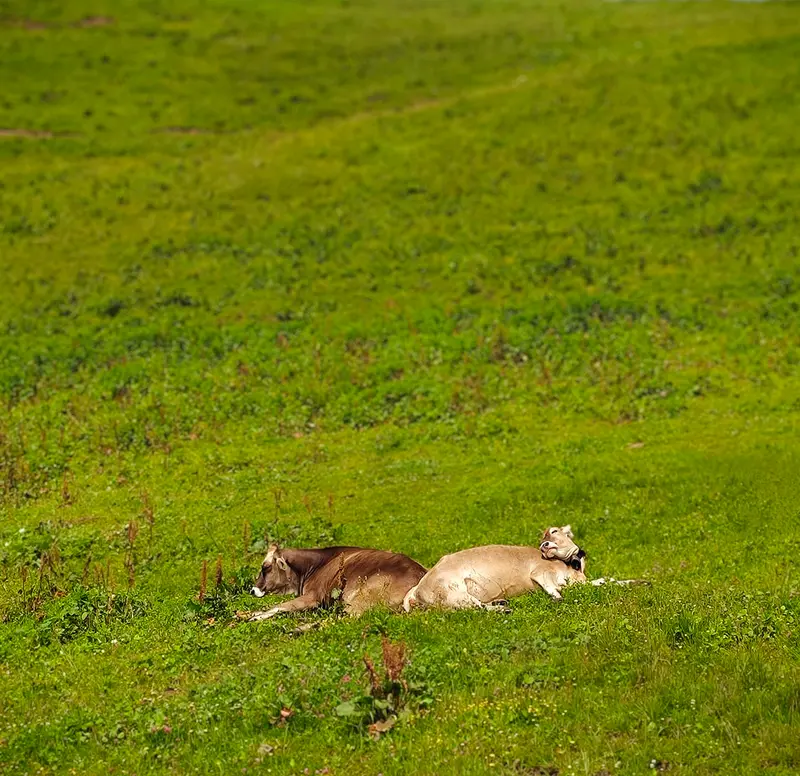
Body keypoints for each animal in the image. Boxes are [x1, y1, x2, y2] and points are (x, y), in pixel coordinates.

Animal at [245, 544, 426, 621]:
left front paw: (253, 617)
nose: (253, 590)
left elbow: (278, 606)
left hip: (360, 599)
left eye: (266, 567)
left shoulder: (313, 596)